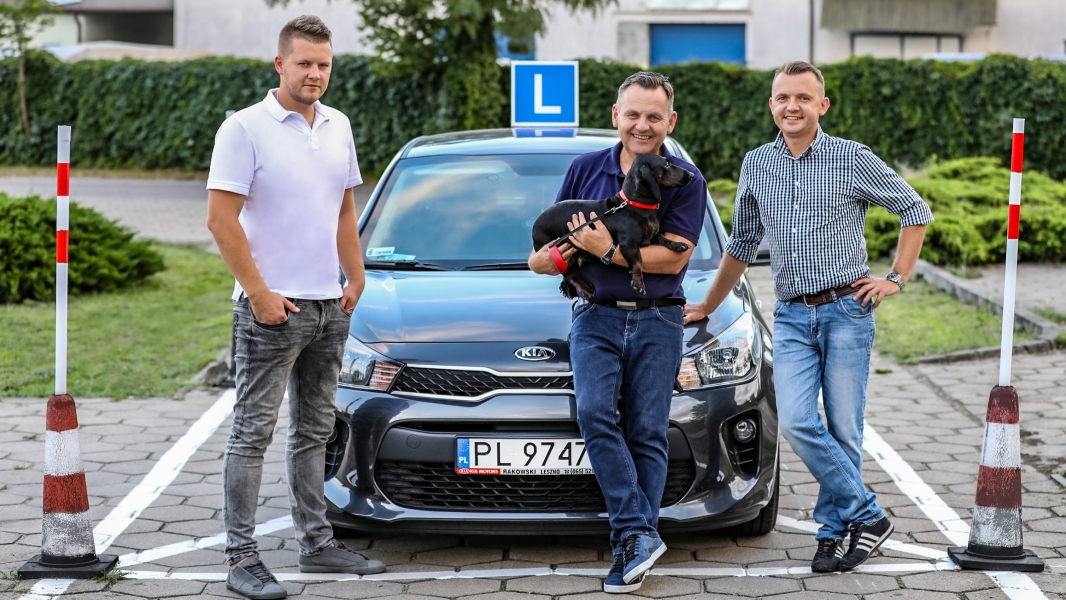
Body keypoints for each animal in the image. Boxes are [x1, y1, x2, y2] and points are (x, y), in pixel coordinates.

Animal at [532, 153, 695, 300]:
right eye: (666, 164)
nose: (692, 175)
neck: (635, 205)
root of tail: (534, 226)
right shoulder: (629, 245)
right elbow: (638, 262)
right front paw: (638, 283)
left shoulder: (650, 237)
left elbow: (662, 238)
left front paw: (677, 245)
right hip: (558, 250)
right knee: (568, 273)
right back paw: (585, 288)